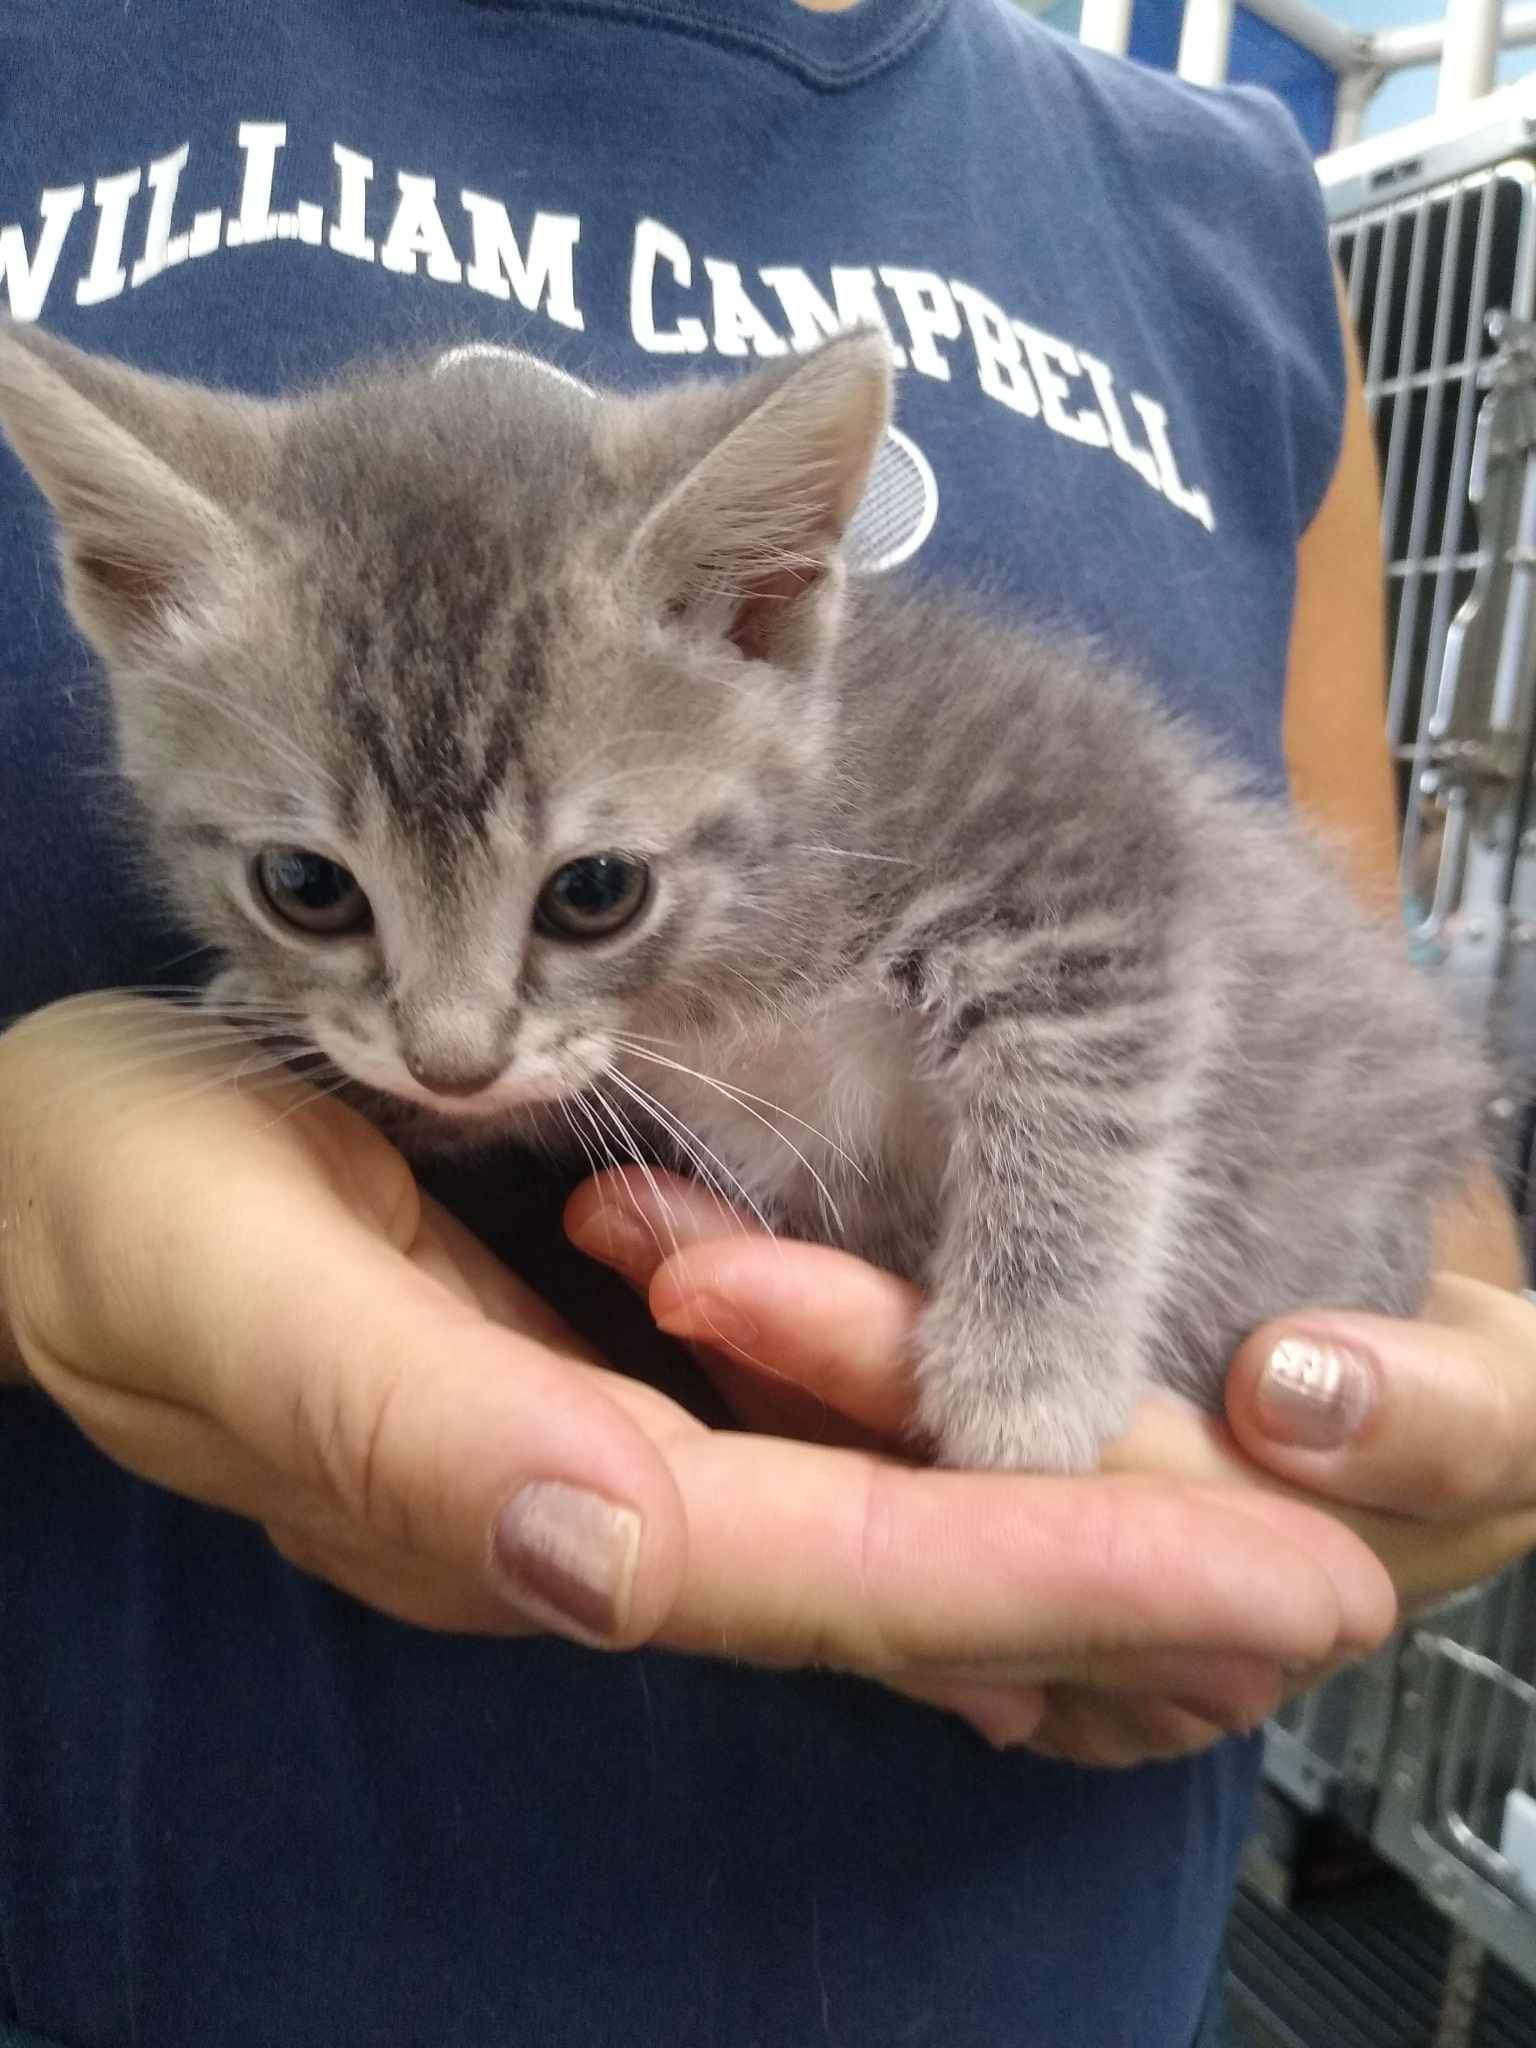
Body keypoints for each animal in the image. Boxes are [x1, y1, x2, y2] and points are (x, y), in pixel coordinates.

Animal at [0, 319, 1490, 1474]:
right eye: (305, 886)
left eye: (596, 891)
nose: (451, 1059)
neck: (726, 952)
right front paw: (296, 1020)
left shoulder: (1088, 826)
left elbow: (1087, 1089)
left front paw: (1031, 1375)